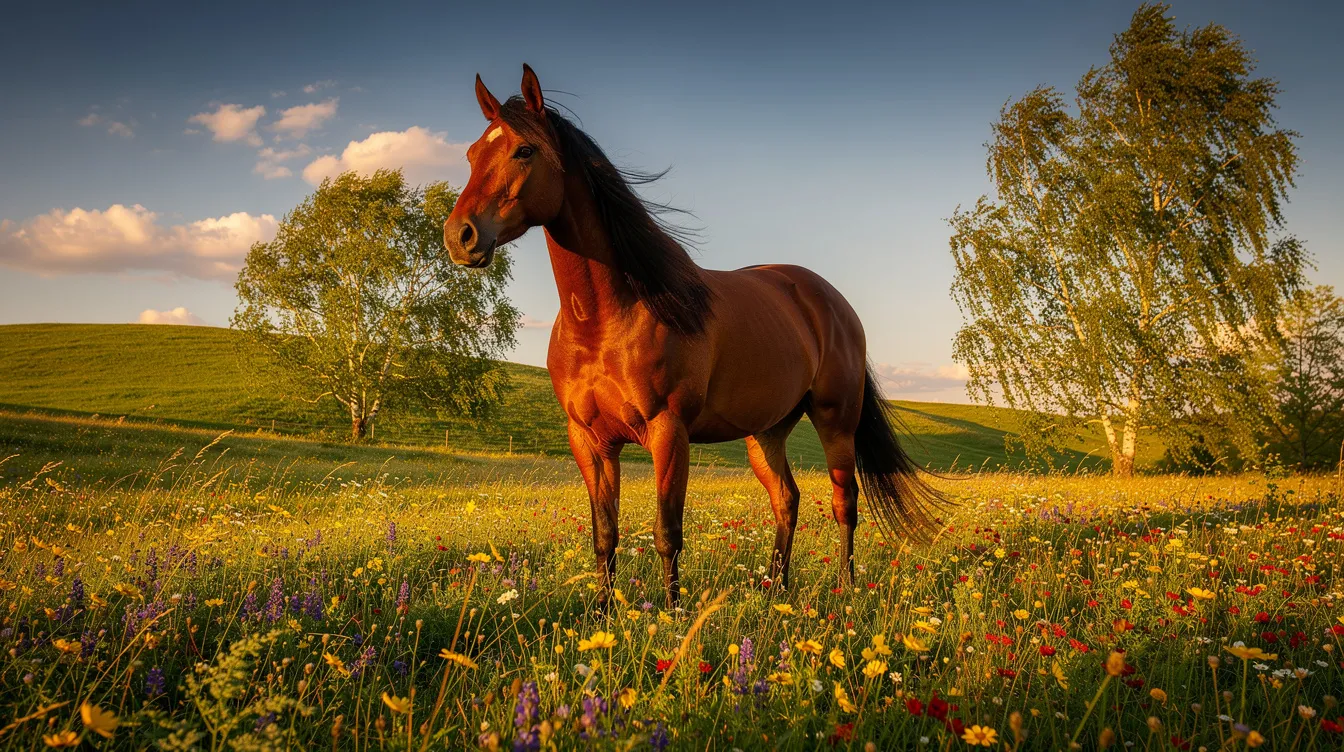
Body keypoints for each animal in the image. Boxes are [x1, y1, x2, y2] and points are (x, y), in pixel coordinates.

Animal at [443, 64, 945, 608]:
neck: (607, 318)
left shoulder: (669, 432)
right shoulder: (590, 441)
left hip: (837, 421)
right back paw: (777, 591)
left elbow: (667, 532)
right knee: (787, 500)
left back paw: (846, 589)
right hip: (766, 431)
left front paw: (671, 613)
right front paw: (602, 614)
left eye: (524, 150)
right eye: (471, 154)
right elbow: (605, 534)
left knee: (843, 502)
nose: (460, 236)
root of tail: (828, 300)